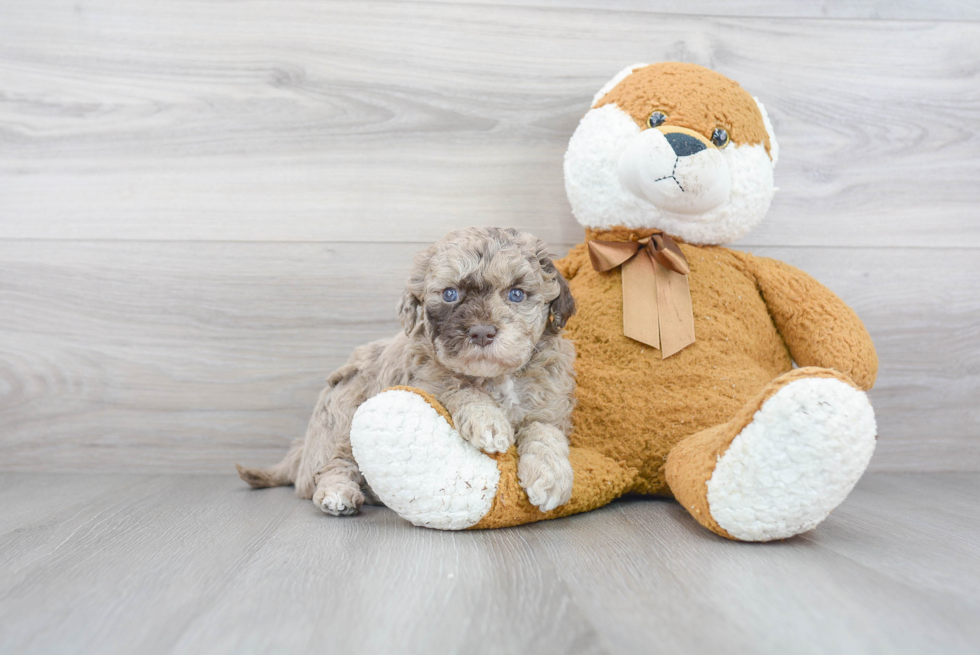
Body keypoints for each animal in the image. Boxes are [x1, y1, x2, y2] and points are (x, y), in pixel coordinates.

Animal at [235, 228, 576, 520]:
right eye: (450, 294)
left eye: (517, 294)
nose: (481, 332)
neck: (496, 377)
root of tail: (303, 450)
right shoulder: (425, 381)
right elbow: (458, 388)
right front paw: (488, 420)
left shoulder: (549, 406)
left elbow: (544, 430)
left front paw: (550, 476)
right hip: (343, 413)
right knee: (334, 464)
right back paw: (337, 494)